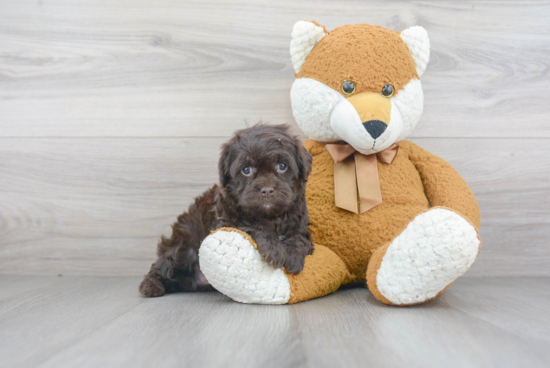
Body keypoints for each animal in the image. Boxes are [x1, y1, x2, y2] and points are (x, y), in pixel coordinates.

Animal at [140, 125, 312, 298]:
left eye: (282, 166)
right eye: (246, 170)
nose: (267, 190)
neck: (270, 216)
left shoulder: (301, 223)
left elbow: (300, 238)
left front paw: (294, 255)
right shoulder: (225, 221)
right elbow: (251, 226)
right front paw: (274, 249)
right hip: (183, 247)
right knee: (162, 265)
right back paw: (151, 285)